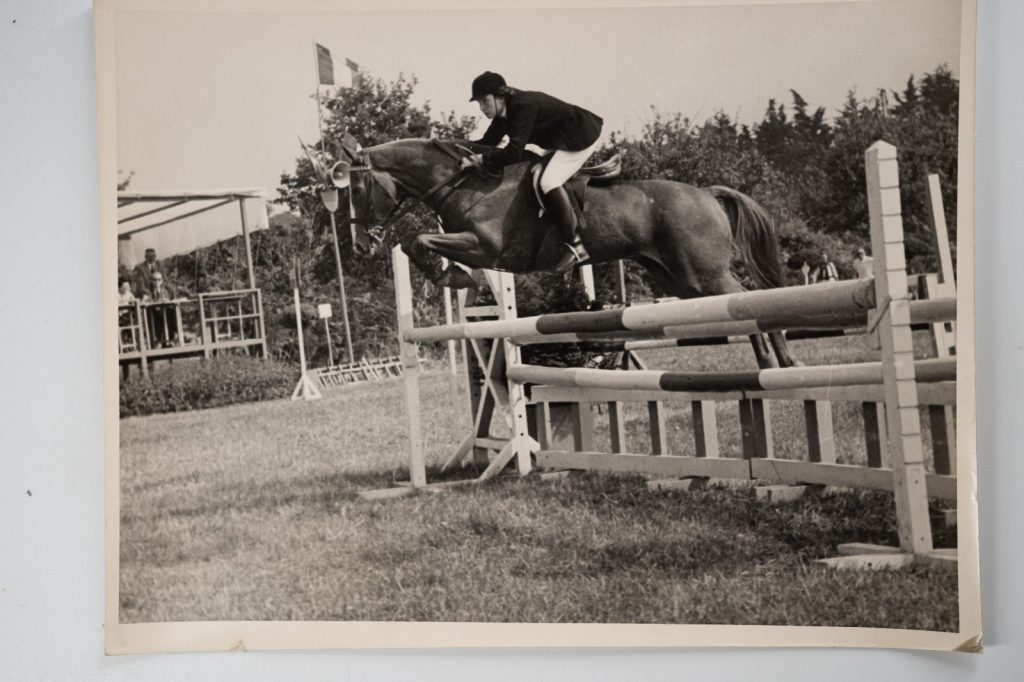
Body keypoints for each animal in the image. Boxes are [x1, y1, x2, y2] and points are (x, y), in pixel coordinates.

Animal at [335, 138, 798, 369]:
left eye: (356, 188)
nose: (359, 245)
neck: (462, 182)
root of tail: (706, 193)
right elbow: (412, 242)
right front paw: (455, 277)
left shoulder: (487, 247)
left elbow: (417, 240)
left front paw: (456, 277)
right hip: (681, 281)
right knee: (738, 304)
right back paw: (768, 364)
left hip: (703, 273)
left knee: (751, 299)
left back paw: (783, 362)